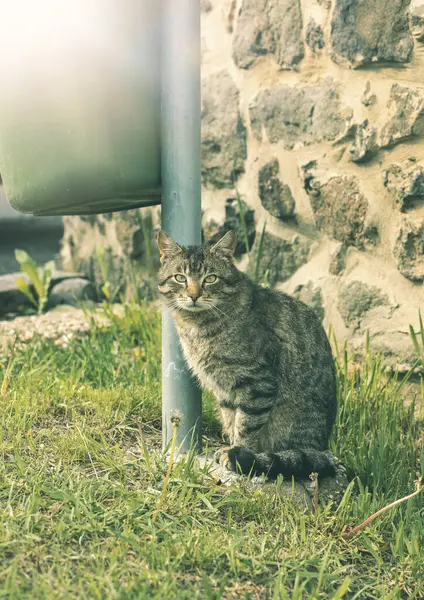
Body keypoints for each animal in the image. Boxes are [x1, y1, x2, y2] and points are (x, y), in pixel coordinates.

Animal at [156, 230, 338, 478]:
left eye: (210, 279)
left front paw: (239, 453)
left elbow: (246, 425)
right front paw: (231, 447)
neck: (197, 327)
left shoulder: (258, 382)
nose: (193, 295)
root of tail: (323, 448)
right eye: (180, 278)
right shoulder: (225, 390)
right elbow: (231, 419)